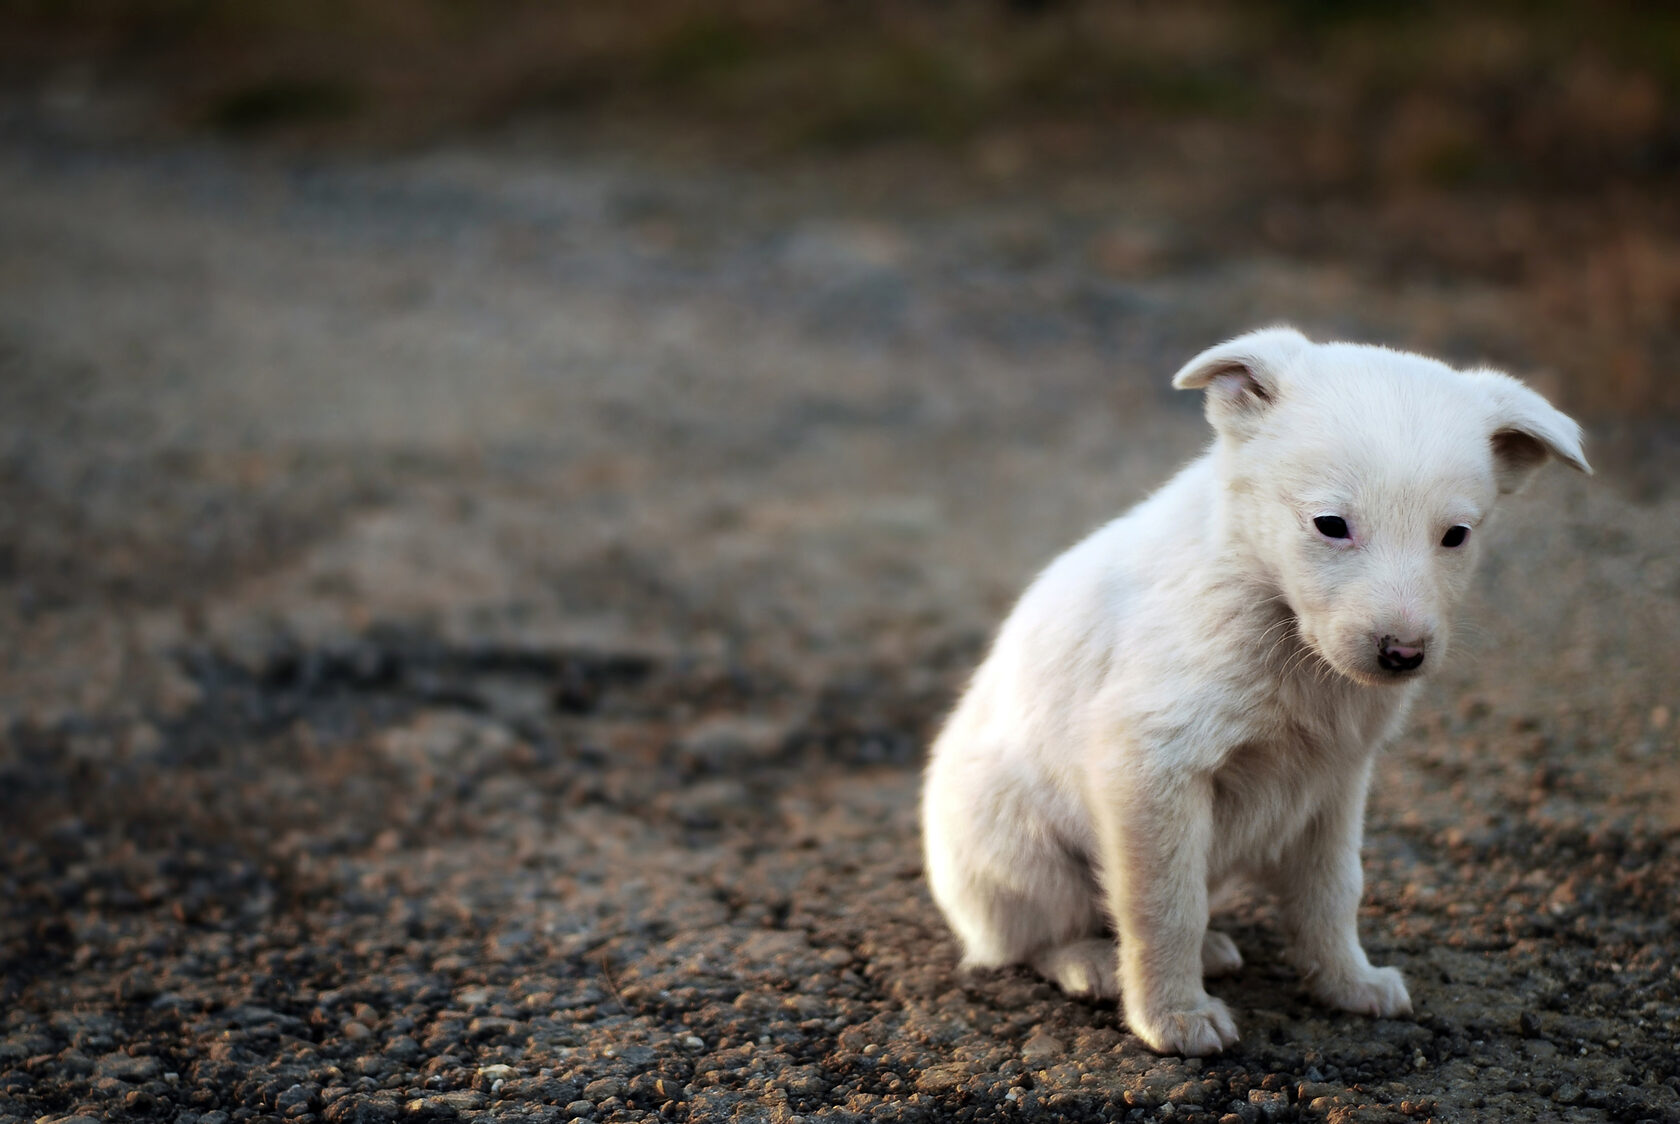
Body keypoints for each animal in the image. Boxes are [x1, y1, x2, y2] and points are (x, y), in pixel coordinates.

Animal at [920, 324, 1585, 1055]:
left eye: (1456, 536)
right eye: (1330, 524)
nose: (1403, 655)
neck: (1278, 619)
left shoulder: (1336, 781)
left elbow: (1333, 892)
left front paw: (1347, 983)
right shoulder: (1151, 765)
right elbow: (1164, 906)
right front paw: (1174, 1017)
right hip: (1020, 850)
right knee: (1032, 938)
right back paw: (1091, 962)